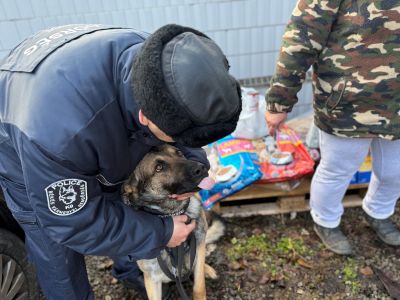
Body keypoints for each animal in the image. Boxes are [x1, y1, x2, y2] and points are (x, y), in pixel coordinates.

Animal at [121, 144, 225, 298]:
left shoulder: (198, 248)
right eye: (158, 168)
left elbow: (199, 287)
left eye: (179, 153)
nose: (201, 168)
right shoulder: (151, 278)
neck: (172, 213)